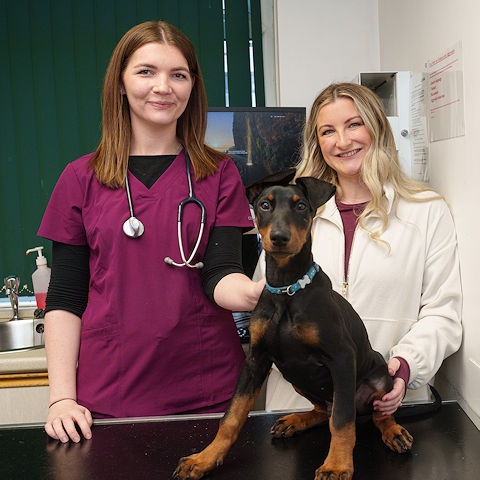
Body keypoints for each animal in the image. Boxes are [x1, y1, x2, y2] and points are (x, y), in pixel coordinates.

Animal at [173, 172, 412, 480]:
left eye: (300, 207)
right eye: (264, 205)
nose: (279, 238)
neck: (287, 289)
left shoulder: (342, 357)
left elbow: (342, 421)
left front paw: (337, 465)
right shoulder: (255, 360)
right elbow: (232, 416)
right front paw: (204, 458)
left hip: (379, 376)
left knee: (374, 411)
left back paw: (393, 431)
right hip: (297, 378)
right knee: (323, 410)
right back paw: (296, 420)